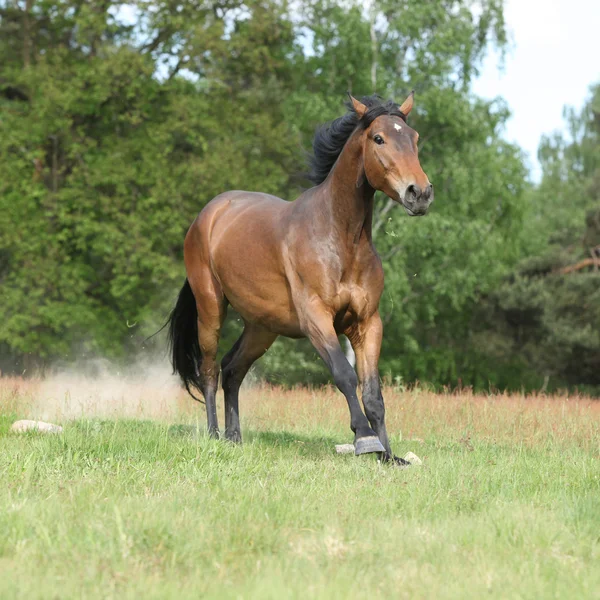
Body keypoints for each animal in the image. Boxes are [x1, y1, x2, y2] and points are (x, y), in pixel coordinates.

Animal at [168, 91, 432, 464]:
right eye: (379, 138)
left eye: (414, 138)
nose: (419, 193)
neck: (340, 239)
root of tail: (207, 215)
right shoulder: (316, 318)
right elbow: (344, 375)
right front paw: (365, 440)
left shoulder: (367, 322)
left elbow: (373, 393)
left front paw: (389, 456)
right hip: (210, 308)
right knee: (208, 370)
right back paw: (214, 435)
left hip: (262, 326)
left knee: (232, 368)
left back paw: (234, 437)